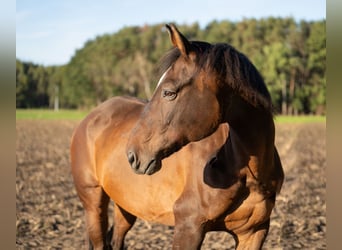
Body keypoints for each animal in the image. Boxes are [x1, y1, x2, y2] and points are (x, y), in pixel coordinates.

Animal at [70, 23, 284, 250]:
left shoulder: (253, 233)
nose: (132, 155)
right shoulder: (188, 227)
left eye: (169, 92)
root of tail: (91, 117)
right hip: (93, 203)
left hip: (125, 204)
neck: (247, 172)